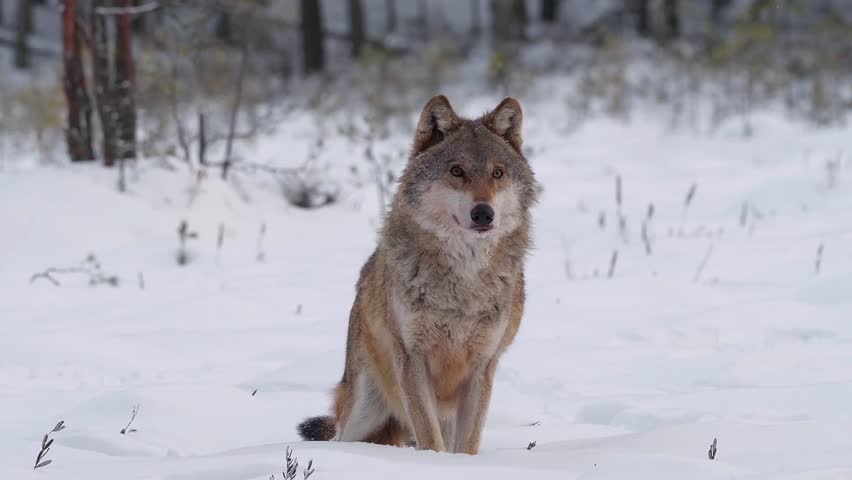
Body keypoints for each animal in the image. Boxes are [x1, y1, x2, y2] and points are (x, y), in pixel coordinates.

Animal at [297, 95, 537, 454]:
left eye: (498, 173)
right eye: (456, 171)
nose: (484, 213)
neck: (462, 283)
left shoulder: (483, 366)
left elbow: (466, 445)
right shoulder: (412, 358)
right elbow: (428, 436)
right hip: (362, 412)